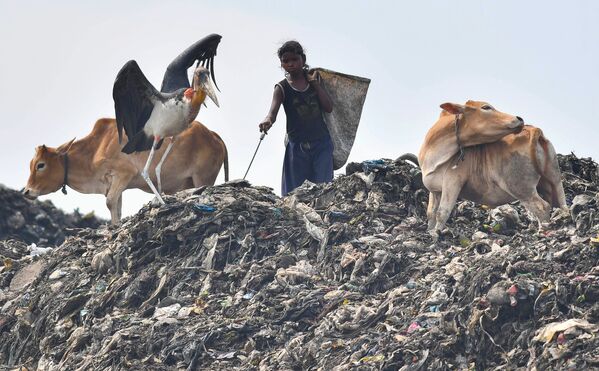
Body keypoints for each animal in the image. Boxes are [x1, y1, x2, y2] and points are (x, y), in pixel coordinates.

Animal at [24, 118, 229, 224]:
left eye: (40, 165)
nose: (26, 191)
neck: (94, 149)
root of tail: (214, 135)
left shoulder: (124, 173)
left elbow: (109, 202)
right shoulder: (115, 183)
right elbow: (117, 207)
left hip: (203, 177)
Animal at [420, 100, 564, 237]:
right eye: (486, 107)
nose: (519, 119)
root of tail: (534, 130)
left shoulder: (453, 182)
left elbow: (442, 212)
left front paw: (437, 233)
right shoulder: (435, 190)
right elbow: (431, 213)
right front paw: (430, 231)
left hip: (520, 187)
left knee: (542, 207)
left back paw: (542, 231)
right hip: (554, 180)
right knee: (561, 204)